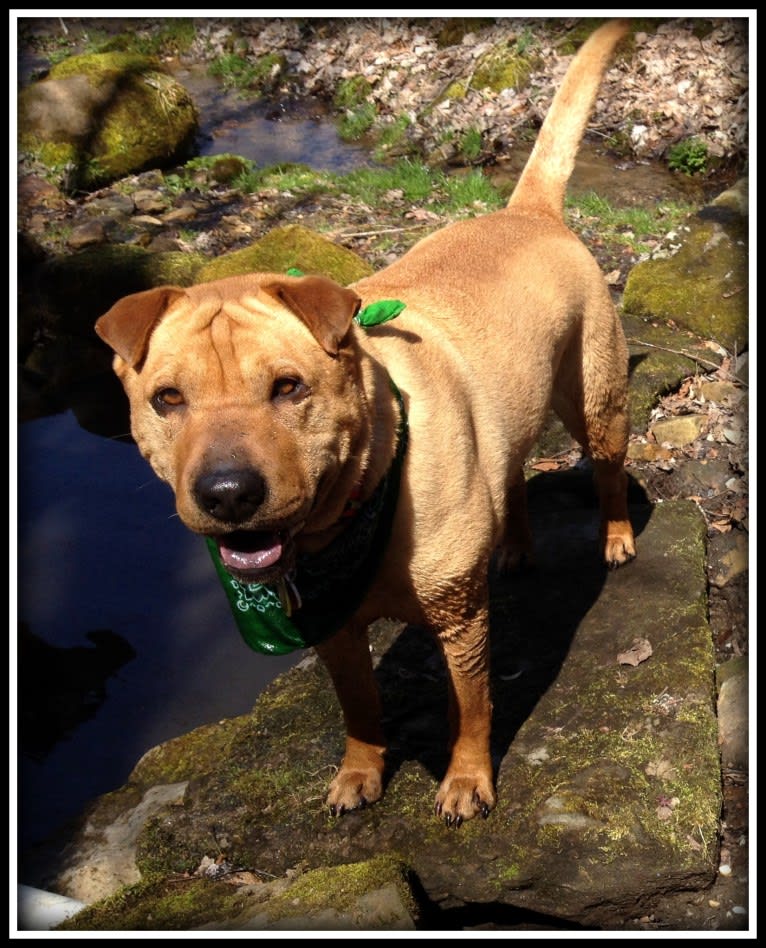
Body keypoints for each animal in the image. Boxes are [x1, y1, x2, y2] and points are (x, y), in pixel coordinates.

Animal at [96, 18, 636, 824]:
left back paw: (617, 538)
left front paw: (466, 781)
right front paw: (360, 772)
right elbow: (359, 708)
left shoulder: (459, 623)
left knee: (607, 469)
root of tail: (528, 210)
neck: (360, 498)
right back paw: (512, 546)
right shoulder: (334, 630)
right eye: (167, 399)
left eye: (288, 387)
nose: (227, 494)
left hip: (595, 398)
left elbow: (471, 710)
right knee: (509, 474)